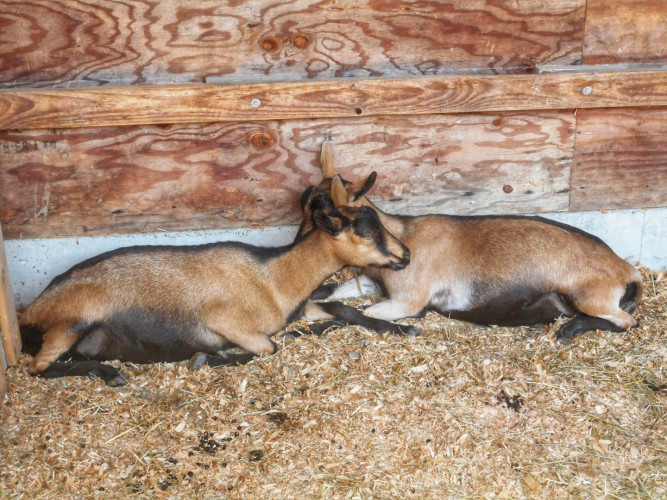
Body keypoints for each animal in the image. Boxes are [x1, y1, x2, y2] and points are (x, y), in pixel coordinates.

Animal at [18, 176, 410, 386]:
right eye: (367, 232)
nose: (406, 255)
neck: (274, 277)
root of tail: (31, 311)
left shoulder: (299, 308)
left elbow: (341, 310)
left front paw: (404, 329)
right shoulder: (224, 321)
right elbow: (268, 347)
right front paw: (204, 358)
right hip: (72, 321)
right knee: (38, 368)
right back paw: (108, 372)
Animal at [300, 143, 644, 342]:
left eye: (327, 218)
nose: (297, 248)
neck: (403, 235)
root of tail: (627, 270)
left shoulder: (409, 301)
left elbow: (354, 312)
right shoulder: (376, 284)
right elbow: (332, 293)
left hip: (590, 296)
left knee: (628, 321)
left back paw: (568, 330)